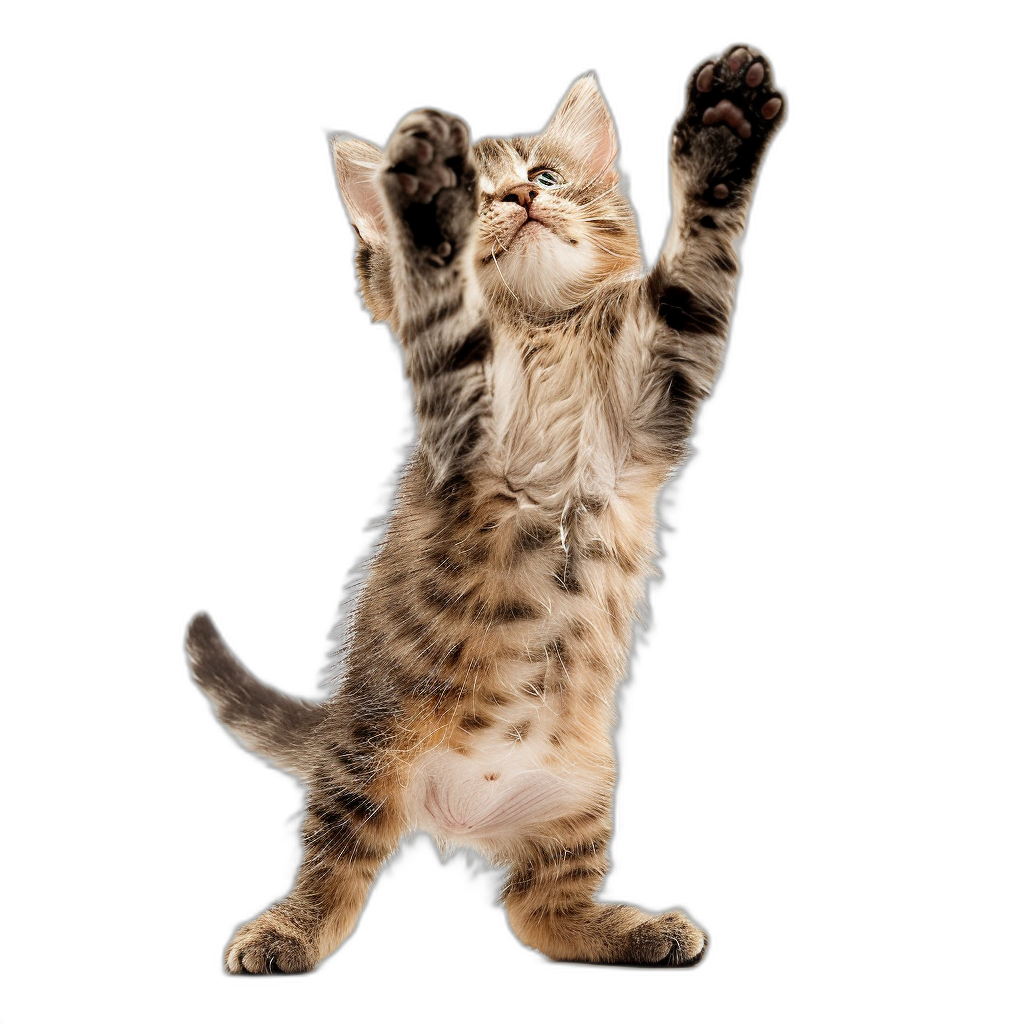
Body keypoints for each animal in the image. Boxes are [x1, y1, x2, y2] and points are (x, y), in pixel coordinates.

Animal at [188, 46, 786, 974]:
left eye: (545, 176)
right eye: (493, 190)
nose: (519, 199)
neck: (543, 332)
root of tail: (460, 812)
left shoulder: (662, 382)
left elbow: (697, 276)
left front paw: (726, 125)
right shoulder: (457, 410)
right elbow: (445, 307)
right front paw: (429, 198)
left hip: (582, 794)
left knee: (539, 912)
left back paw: (639, 932)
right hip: (368, 757)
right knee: (335, 868)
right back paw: (284, 933)